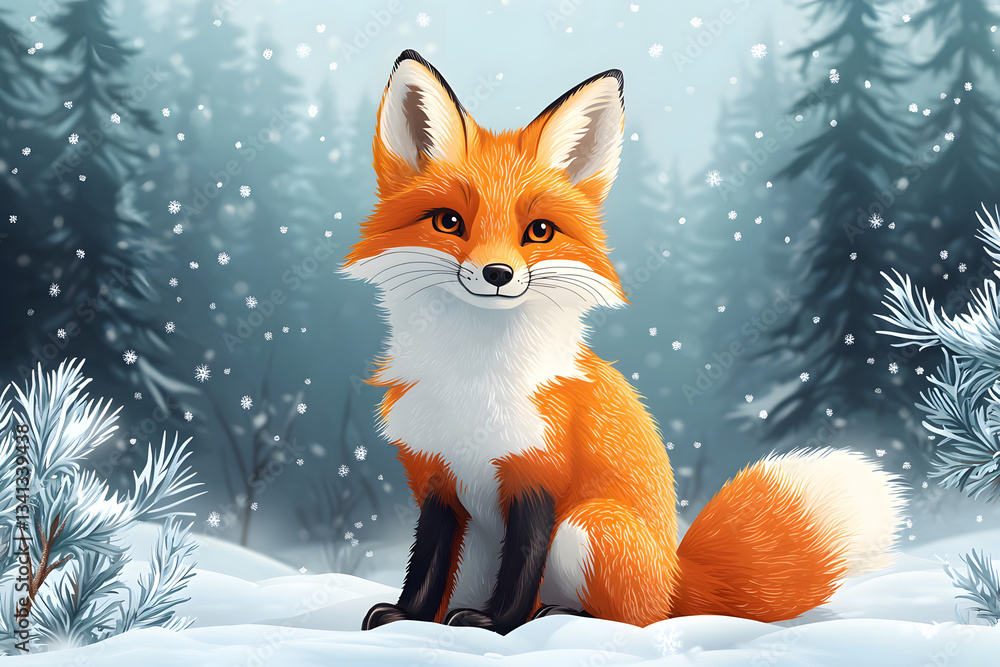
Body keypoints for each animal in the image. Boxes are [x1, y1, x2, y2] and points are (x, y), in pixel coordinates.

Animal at [342, 50, 907, 635]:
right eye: (449, 221)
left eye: (539, 231)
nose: (498, 274)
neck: (473, 380)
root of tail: (678, 578)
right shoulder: (436, 479)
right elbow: (426, 563)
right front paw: (408, 618)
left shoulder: (538, 476)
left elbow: (520, 568)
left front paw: (493, 625)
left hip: (589, 525)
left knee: (632, 619)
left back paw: (561, 613)